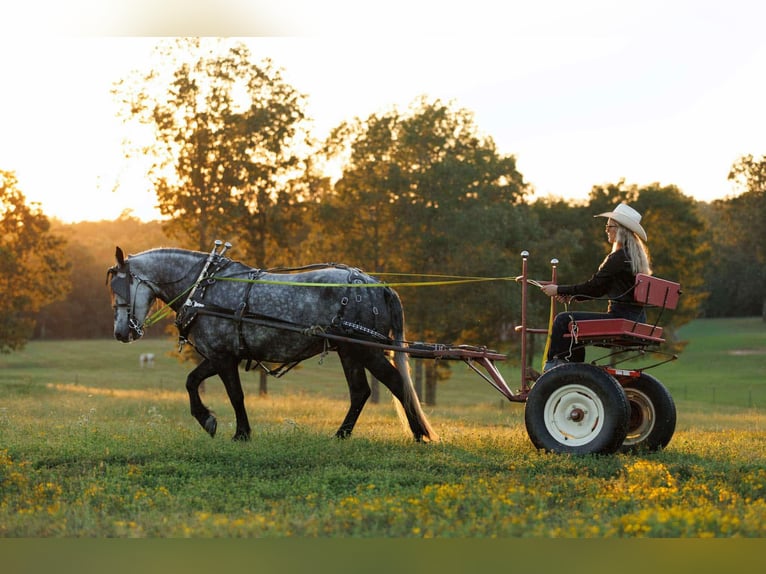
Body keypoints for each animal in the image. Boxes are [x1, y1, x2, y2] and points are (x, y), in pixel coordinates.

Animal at [107, 245, 438, 443]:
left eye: (120, 286)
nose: (121, 332)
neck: (203, 287)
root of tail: (378, 286)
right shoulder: (220, 354)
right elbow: (192, 381)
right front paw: (207, 420)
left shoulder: (223, 356)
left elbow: (235, 395)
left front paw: (240, 433)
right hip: (349, 351)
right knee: (360, 392)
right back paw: (340, 436)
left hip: (365, 348)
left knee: (395, 382)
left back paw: (419, 434)